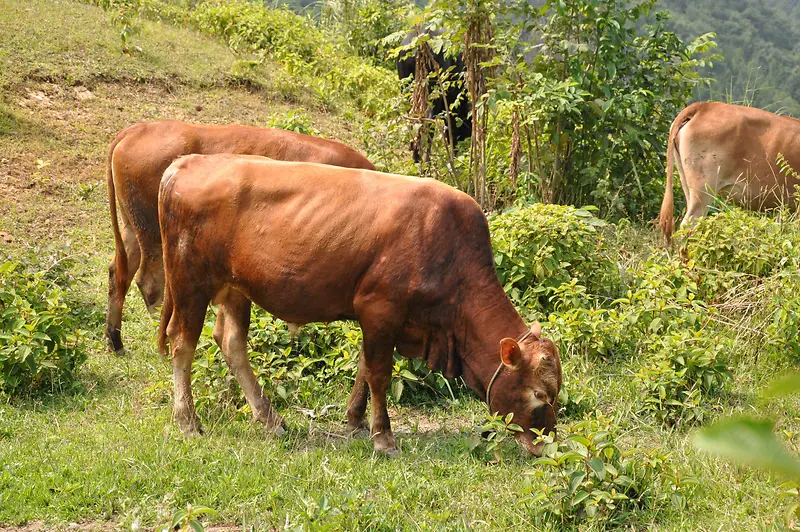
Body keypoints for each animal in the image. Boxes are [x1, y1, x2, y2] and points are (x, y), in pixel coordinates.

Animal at [104, 120, 376, 354]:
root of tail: (137, 129)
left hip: (132, 227)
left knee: (119, 271)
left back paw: (115, 340)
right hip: (153, 235)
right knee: (150, 282)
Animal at [156, 155, 564, 458]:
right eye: (540, 395)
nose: (547, 446)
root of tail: (187, 162)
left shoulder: (381, 318)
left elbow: (364, 368)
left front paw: (354, 421)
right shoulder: (381, 308)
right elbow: (379, 373)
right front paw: (383, 436)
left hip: (234, 288)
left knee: (232, 343)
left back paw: (269, 418)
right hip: (189, 282)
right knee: (182, 343)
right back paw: (188, 421)